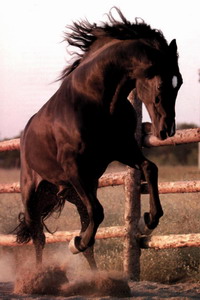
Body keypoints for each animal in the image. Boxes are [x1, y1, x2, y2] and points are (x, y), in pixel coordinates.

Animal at [14, 7, 183, 270]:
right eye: (160, 84)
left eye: (179, 82)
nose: (167, 129)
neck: (96, 100)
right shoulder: (74, 167)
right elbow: (98, 212)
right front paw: (75, 243)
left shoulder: (123, 149)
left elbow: (150, 167)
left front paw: (149, 220)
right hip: (33, 194)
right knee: (38, 237)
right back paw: (41, 273)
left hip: (74, 193)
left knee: (84, 231)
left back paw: (96, 275)